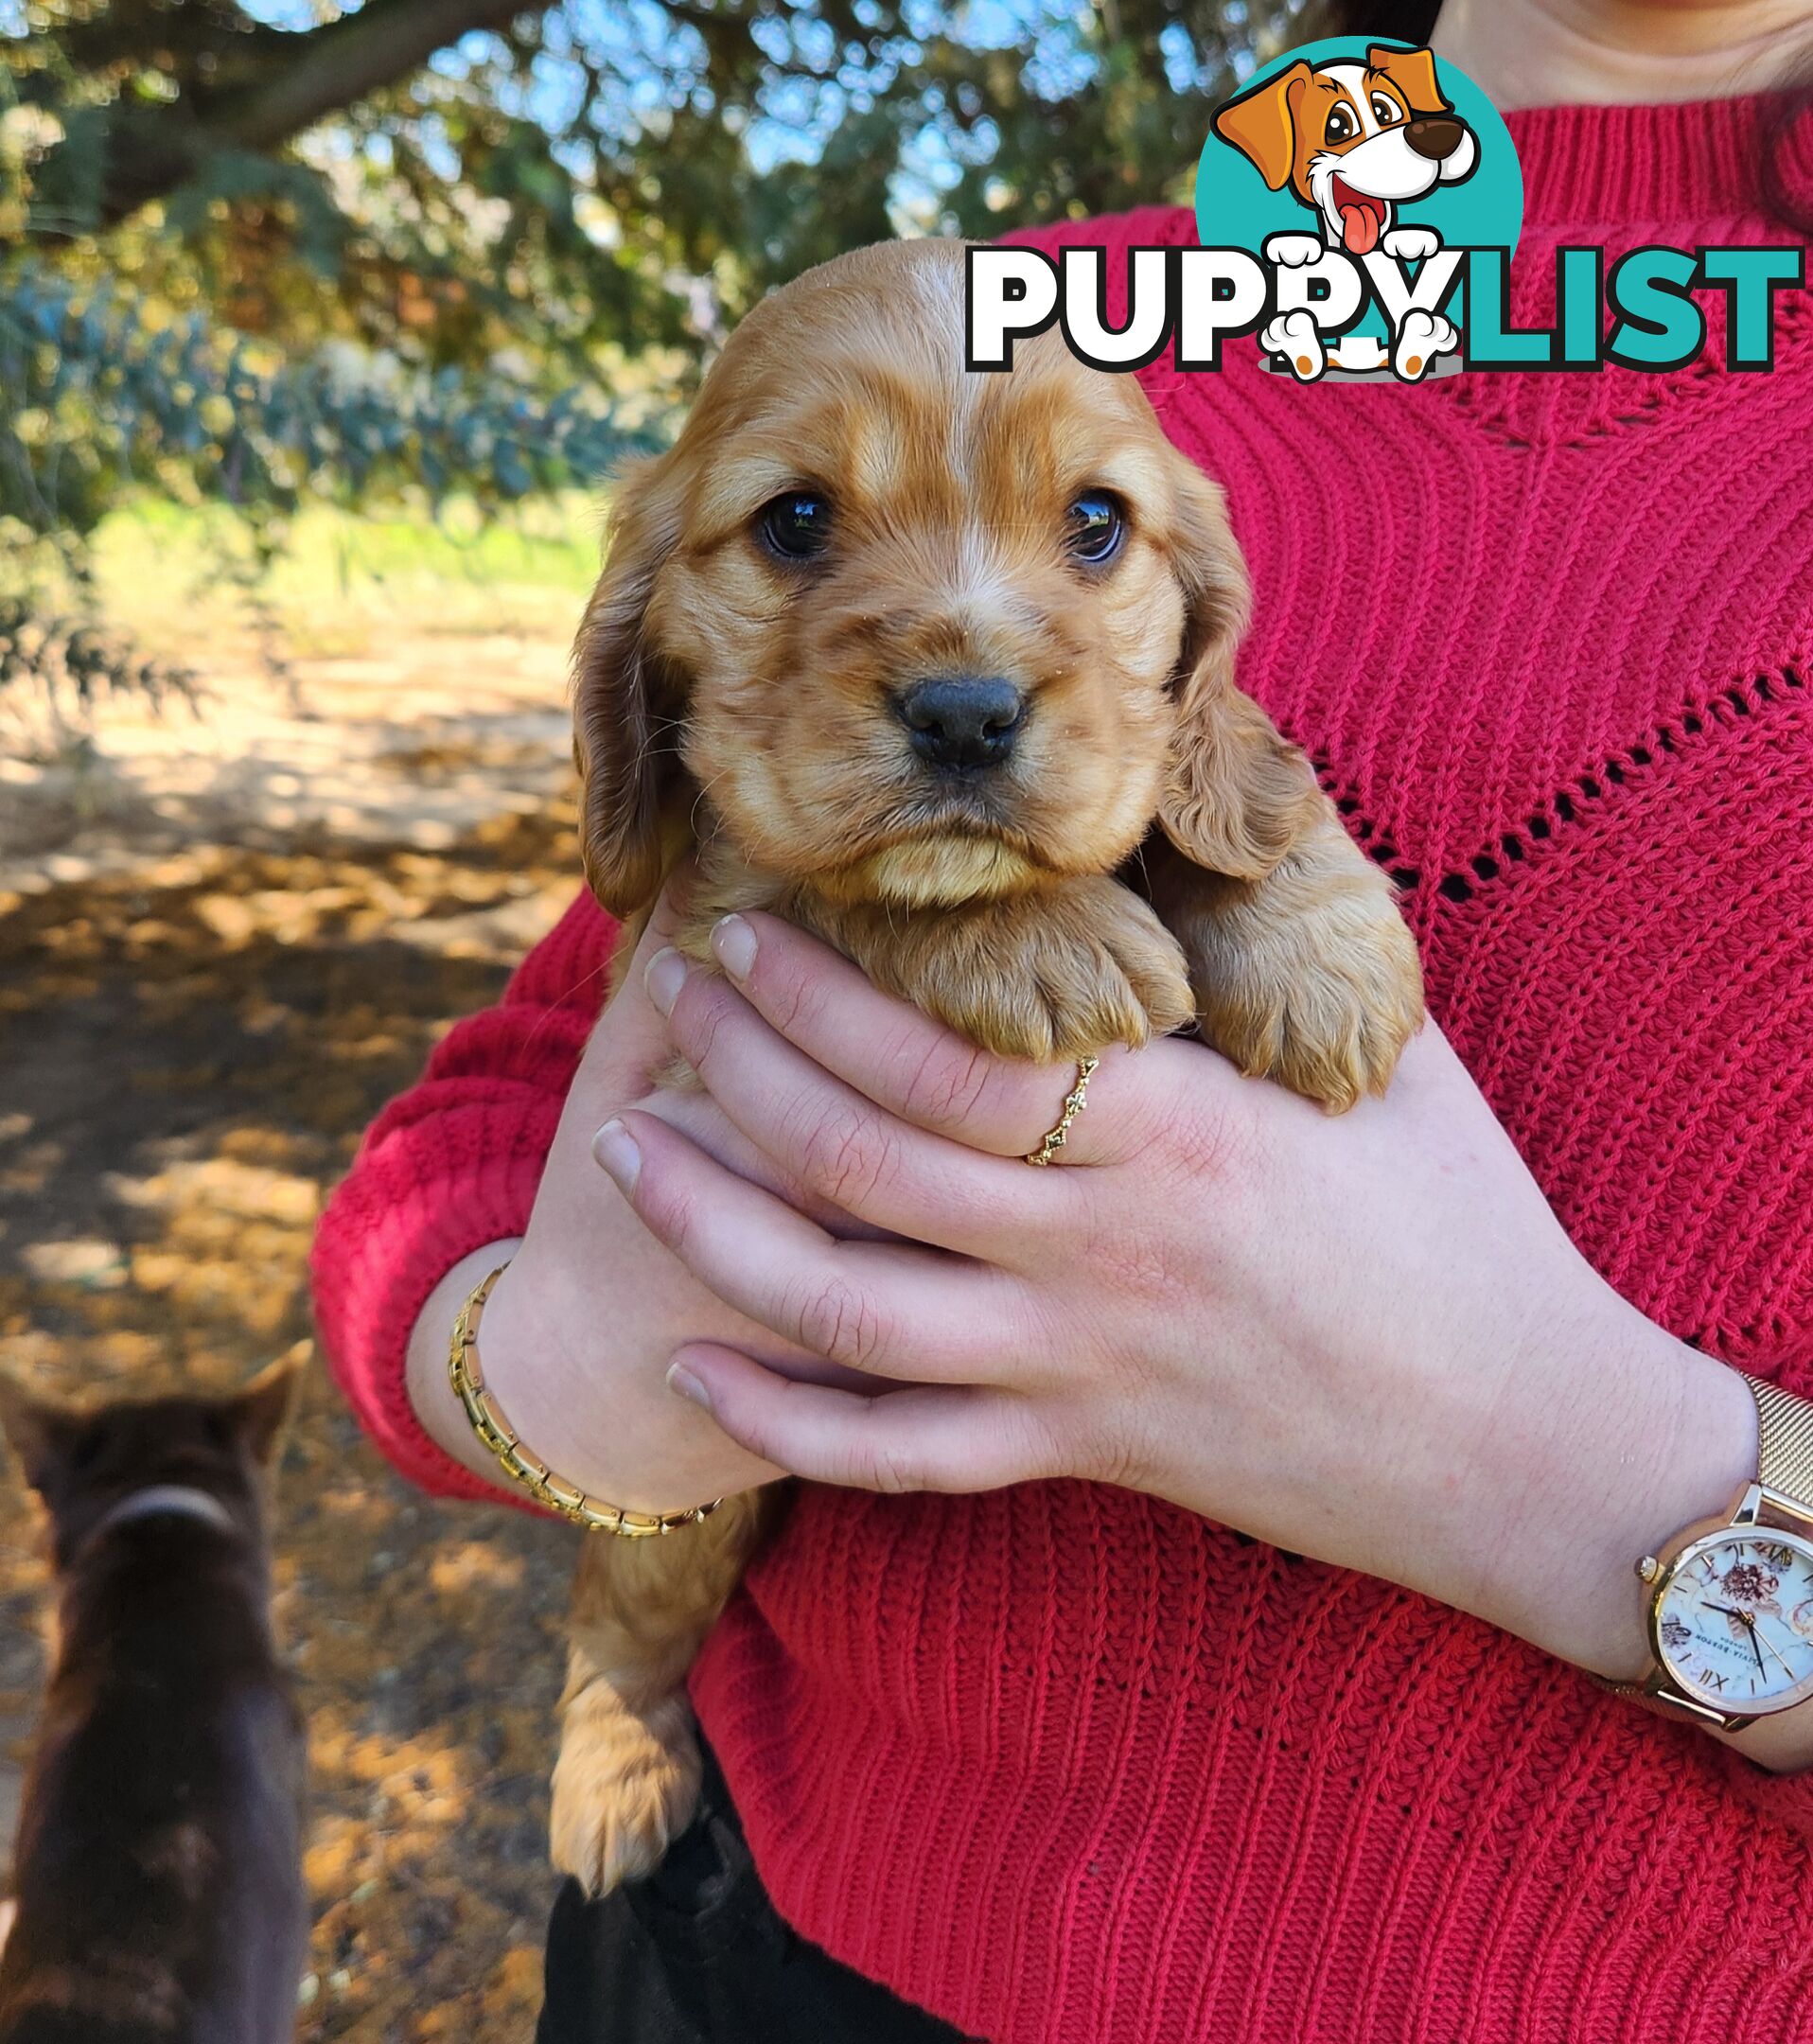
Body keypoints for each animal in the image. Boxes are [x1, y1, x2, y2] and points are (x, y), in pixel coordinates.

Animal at [552, 238, 1431, 1896]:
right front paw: (1037, 938)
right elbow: (832, 885)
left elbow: (1216, 755)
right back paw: (610, 1779)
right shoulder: (703, 932)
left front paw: (1325, 951)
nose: (966, 713)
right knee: (620, 1617)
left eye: (1096, 521)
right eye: (796, 520)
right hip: (677, 1504)